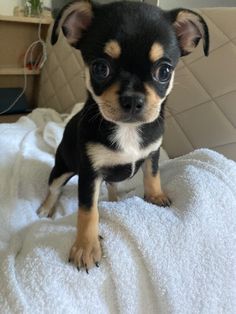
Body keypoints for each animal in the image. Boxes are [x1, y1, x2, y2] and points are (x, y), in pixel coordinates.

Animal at [37, 0, 209, 272]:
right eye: (100, 68)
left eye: (164, 71)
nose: (132, 99)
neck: (126, 129)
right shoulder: (89, 173)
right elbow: (88, 211)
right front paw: (86, 247)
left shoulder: (152, 152)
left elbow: (152, 174)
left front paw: (155, 195)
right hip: (61, 168)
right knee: (54, 188)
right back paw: (45, 209)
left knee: (113, 184)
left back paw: (115, 200)